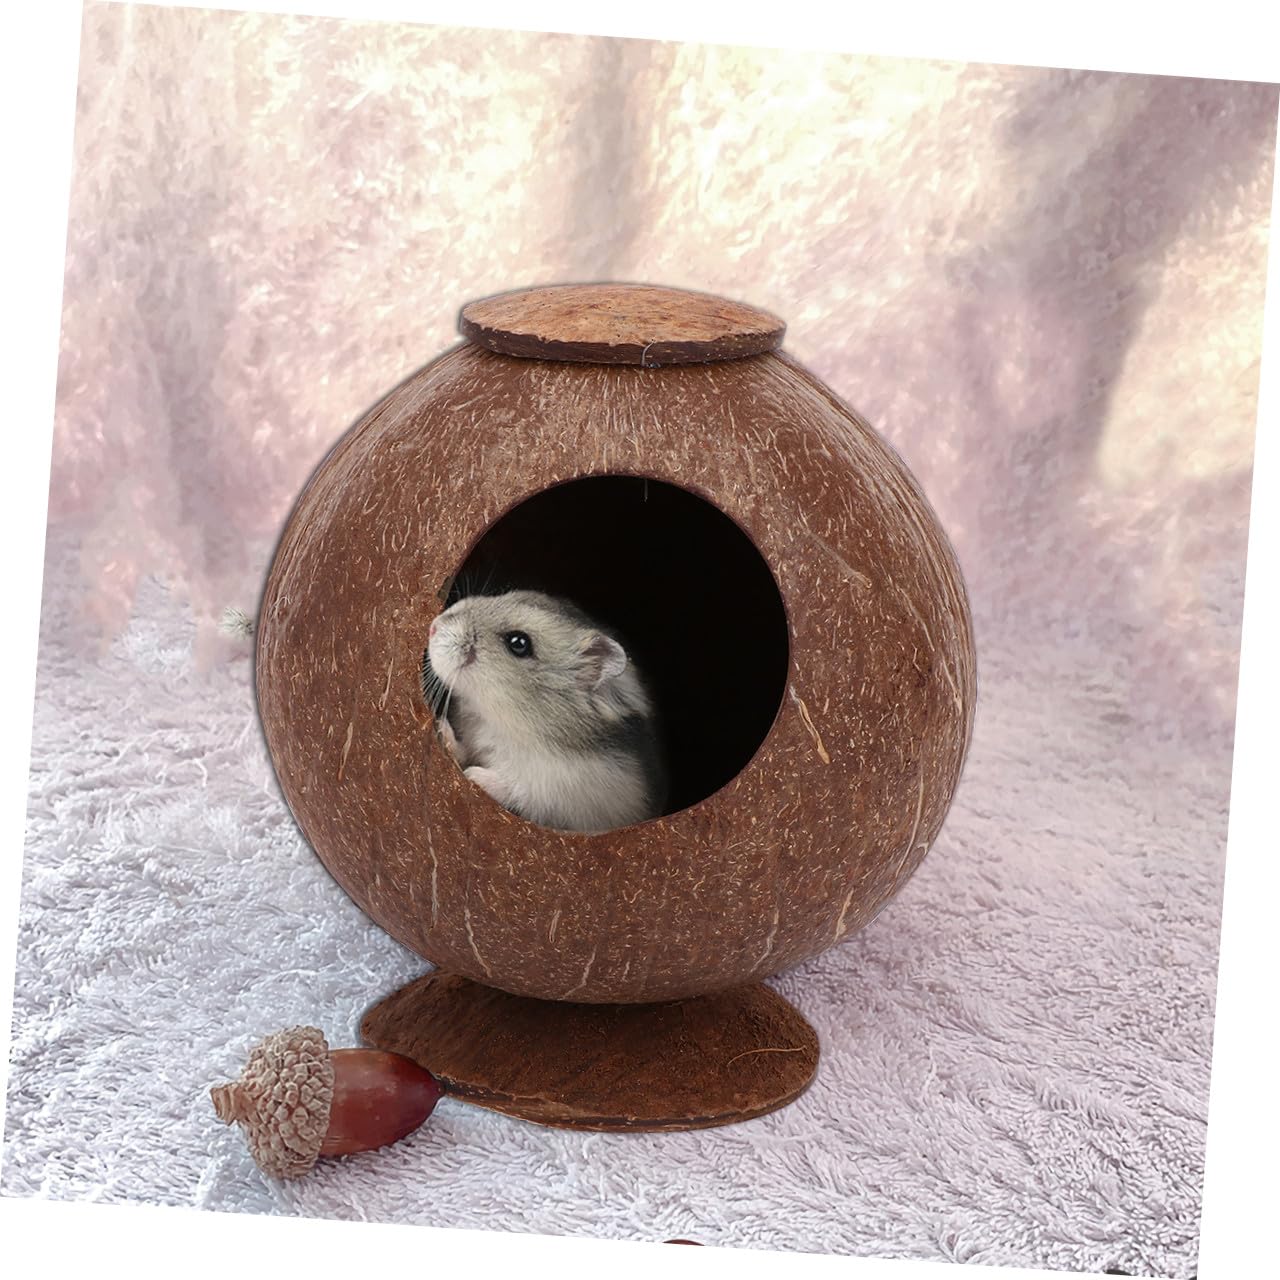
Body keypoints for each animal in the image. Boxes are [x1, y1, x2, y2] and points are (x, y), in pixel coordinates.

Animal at [423, 590, 667, 833]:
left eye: (519, 643)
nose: (433, 626)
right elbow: (463, 749)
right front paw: (442, 729)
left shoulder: (562, 793)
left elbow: (520, 790)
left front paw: (474, 776)